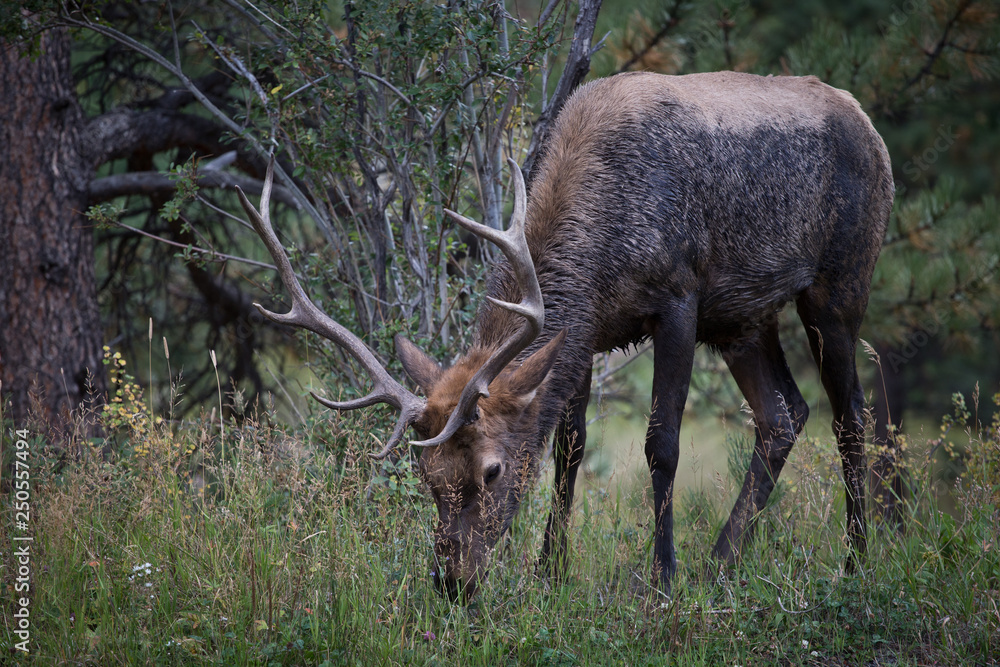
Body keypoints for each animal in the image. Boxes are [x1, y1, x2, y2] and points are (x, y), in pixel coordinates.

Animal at [237, 71, 895, 601]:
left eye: (492, 470)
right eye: (426, 475)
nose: (451, 581)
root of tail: (869, 124)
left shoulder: (678, 297)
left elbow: (662, 443)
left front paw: (662, 580)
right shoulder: (588, 331)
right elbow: (570, 445)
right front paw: (550, 573)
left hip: (840, 283)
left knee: (851, 414)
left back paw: (856, 562)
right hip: (744, 319)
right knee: (785, 413)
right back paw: (721, 564)